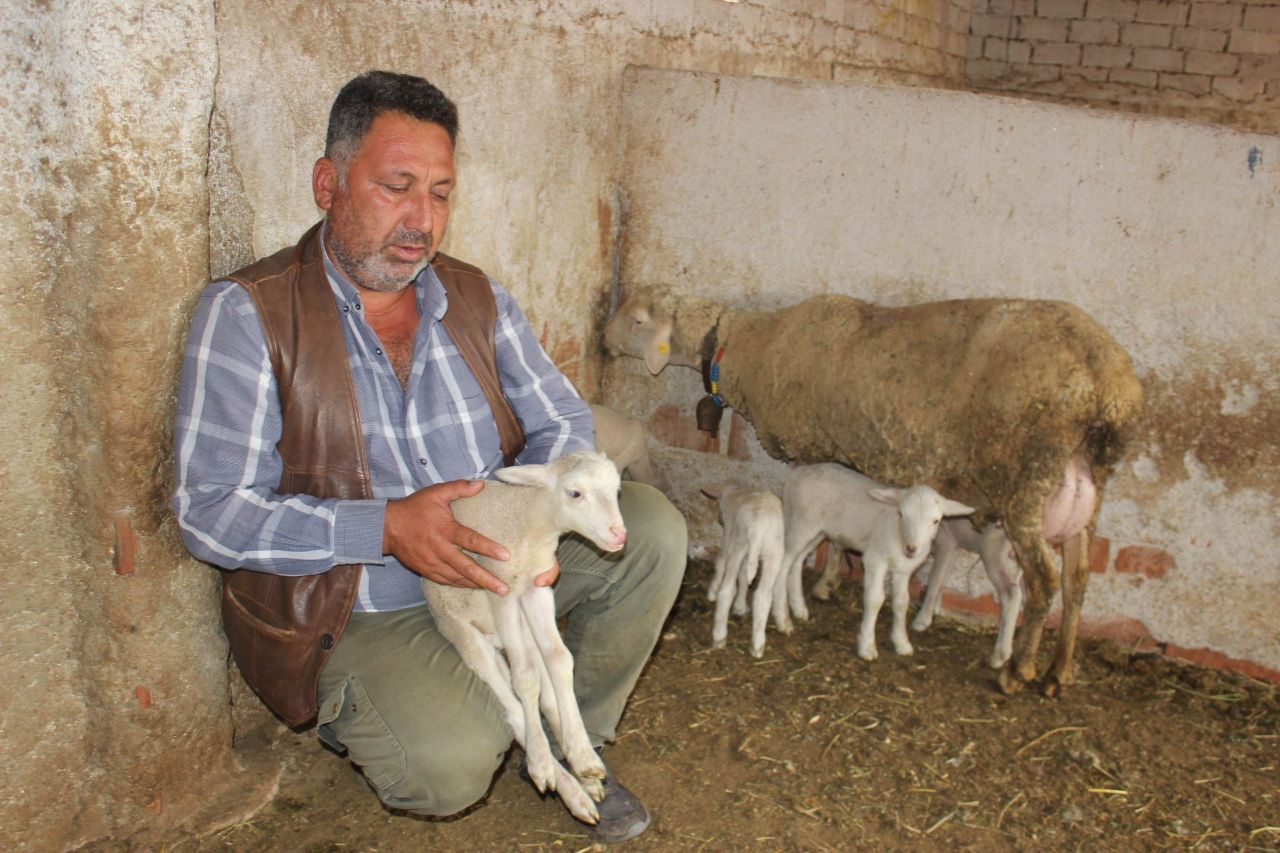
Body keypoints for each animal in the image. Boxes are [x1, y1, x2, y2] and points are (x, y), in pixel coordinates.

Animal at [422, 448, 627, 824]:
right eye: (575, 493)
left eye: (616, 490)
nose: (619, 536)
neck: (530, 523)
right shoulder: (501, 590)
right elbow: (526, 678)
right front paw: (543, 765)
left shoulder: (536, 588)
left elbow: (560, 660)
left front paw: (584, 756)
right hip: (465, 634)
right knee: (515, 711)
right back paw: (561, 782)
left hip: (521, 624)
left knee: (544, 694)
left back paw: (583, 775)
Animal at [701, 481, 788, 653]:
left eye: (717, 504)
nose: (718, 517)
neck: (736, 493)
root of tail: (759, 524)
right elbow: (743, 577)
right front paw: (740, 607)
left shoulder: (729, 536)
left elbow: (721, 562)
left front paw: (712, 592)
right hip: (773, 550)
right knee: (762, 595)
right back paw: (758, 645)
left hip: (738, 543)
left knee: (727, 591)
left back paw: (719, 636)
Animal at [773, 466, 972, 655]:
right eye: (901, 514)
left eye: (936, 521)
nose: (912, 548)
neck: (898, 535)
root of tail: (798, 472)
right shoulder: (875, 559)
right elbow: (875, 599)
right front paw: (867, 645)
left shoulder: (904, 570)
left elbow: (902, 602)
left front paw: (902, 643)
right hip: (801, 522)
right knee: (784, 562)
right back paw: (782, 618)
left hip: (817, 531)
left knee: (797, 561)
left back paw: (799, 608)